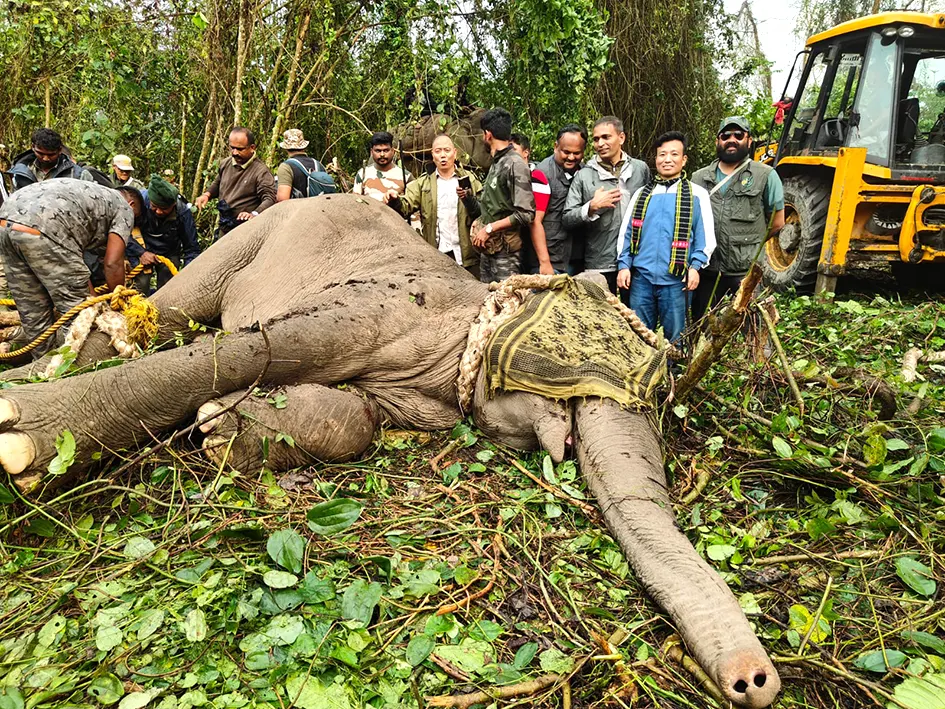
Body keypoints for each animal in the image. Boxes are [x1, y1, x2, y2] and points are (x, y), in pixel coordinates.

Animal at [0, 195, 780, 708]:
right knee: (162, 311)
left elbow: (362, 421)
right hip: (251, 235)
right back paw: (31, 373)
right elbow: (264, 344)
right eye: (581, 371)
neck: (471, 315)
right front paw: (22, 441)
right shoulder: (380, 307)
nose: (754, 680)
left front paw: (221, 429)